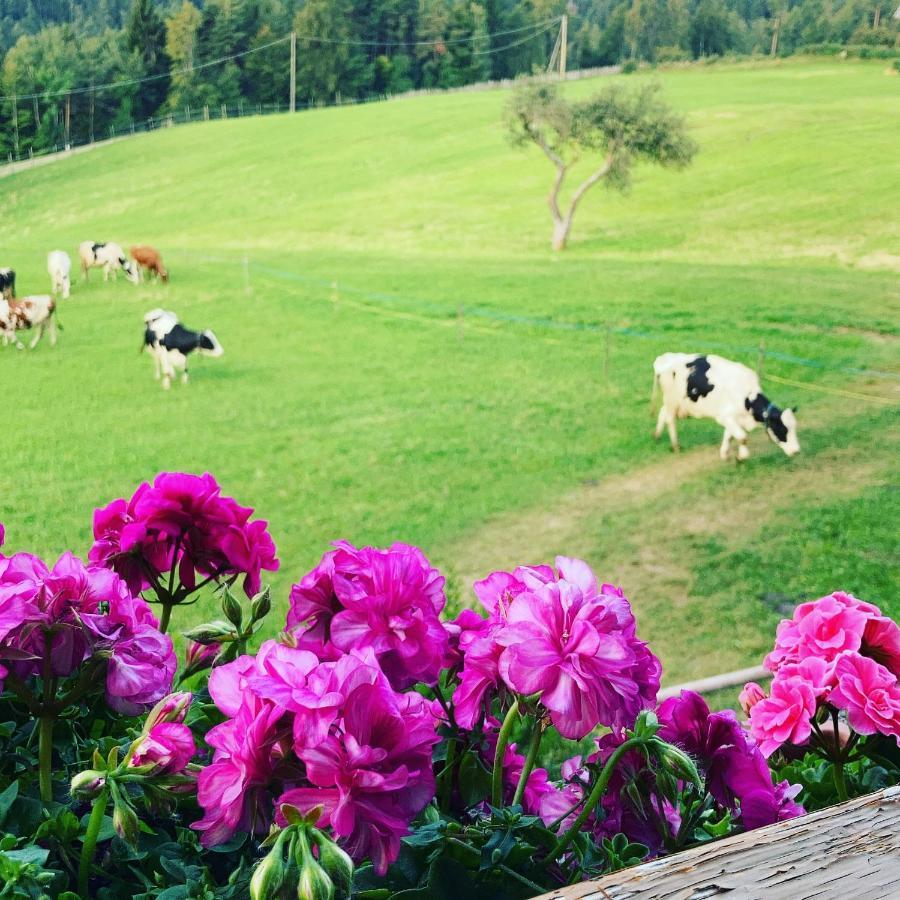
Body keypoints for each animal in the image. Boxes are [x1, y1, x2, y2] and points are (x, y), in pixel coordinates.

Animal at [652, 352, 800, 460]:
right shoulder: (724, 416)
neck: (747, 397)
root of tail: (664, 357)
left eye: (794, 428)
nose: (797, 451)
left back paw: (656, 436)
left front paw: (725, 454)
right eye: (782, 429)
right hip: (671, 399)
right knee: (669, 419)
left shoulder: (733, 417)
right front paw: (742, 457)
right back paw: (676, 446)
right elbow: (742, 437)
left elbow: (730, 435)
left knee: (662, 413)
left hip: (674, 402)